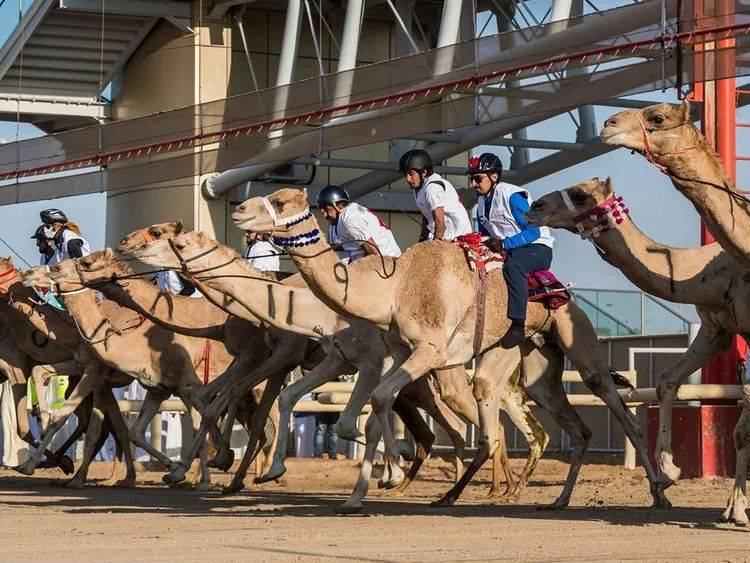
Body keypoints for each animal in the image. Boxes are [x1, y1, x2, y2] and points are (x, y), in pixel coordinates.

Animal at [131, 229, 552, 512]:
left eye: (172, 239)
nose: (129, 247)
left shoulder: (348, 360)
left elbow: (348, 422)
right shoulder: (330, 359)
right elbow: (273, 402)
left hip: (443, 373)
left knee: (479, 421)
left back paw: (491, 489)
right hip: (440, 375)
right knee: (470, 419)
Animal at [228, 189, 664, 512]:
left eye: (279, 201)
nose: (239, 210)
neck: (393, 289)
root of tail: (563, 292)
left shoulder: (422, 351)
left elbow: (370, 409)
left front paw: (375, 484)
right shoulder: (395, 353)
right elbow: (348, 405)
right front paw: (289, 476)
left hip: (576, 338)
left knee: (613, 403)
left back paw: (658, 493)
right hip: (529, 358)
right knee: (557, 418)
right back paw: (546, 498)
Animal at [524, 176, 750, 524]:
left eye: (580, 194)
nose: (534, 207)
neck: (709, 272)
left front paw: (737, 509)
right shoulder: (718, 329)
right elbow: (667, 380)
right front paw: (671, 473)